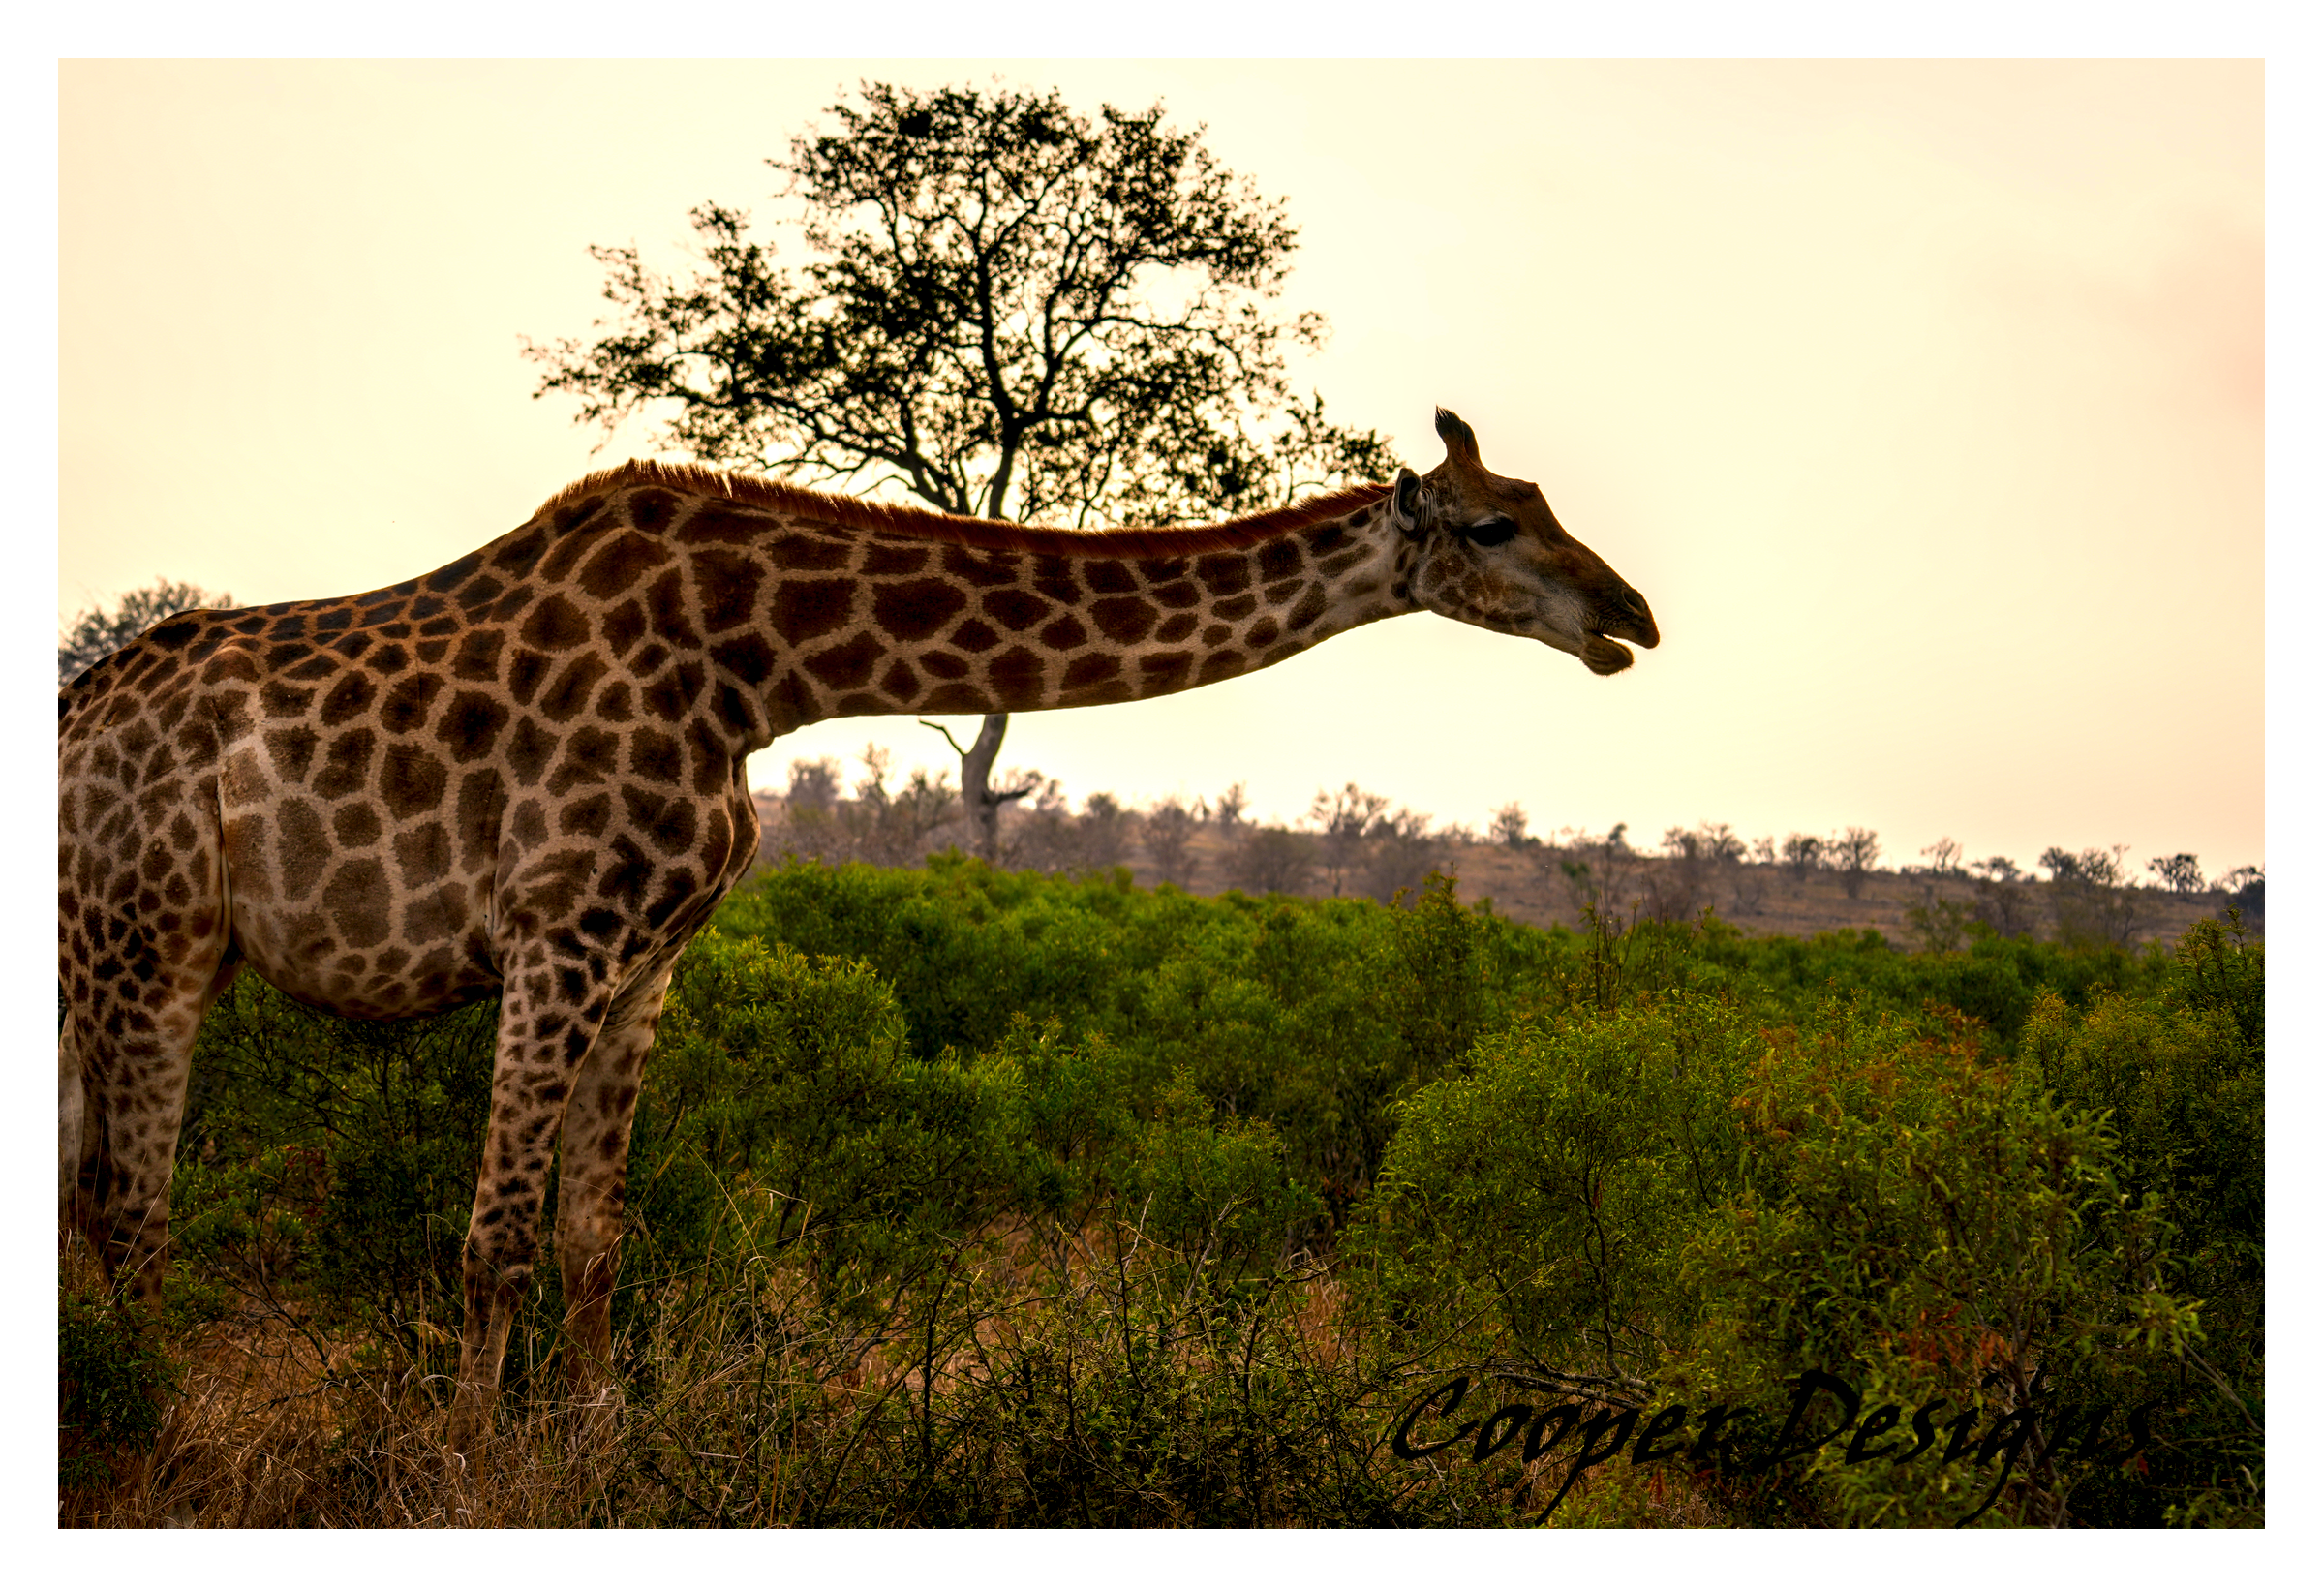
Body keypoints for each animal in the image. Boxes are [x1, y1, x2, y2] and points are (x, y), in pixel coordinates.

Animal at [57, 407, 1658, 1447]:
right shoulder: (557, 930)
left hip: (90, 963)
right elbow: (495, 1236)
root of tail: (78, 715)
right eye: (1498, 523)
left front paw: (588, 1452)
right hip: (154, 940)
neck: (761, 669)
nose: (1630, 618)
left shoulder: (648, 953)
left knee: (91, 1201)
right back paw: (144, 1433)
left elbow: (594, 1235)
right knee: (133, 1214)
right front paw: (462, 1467)